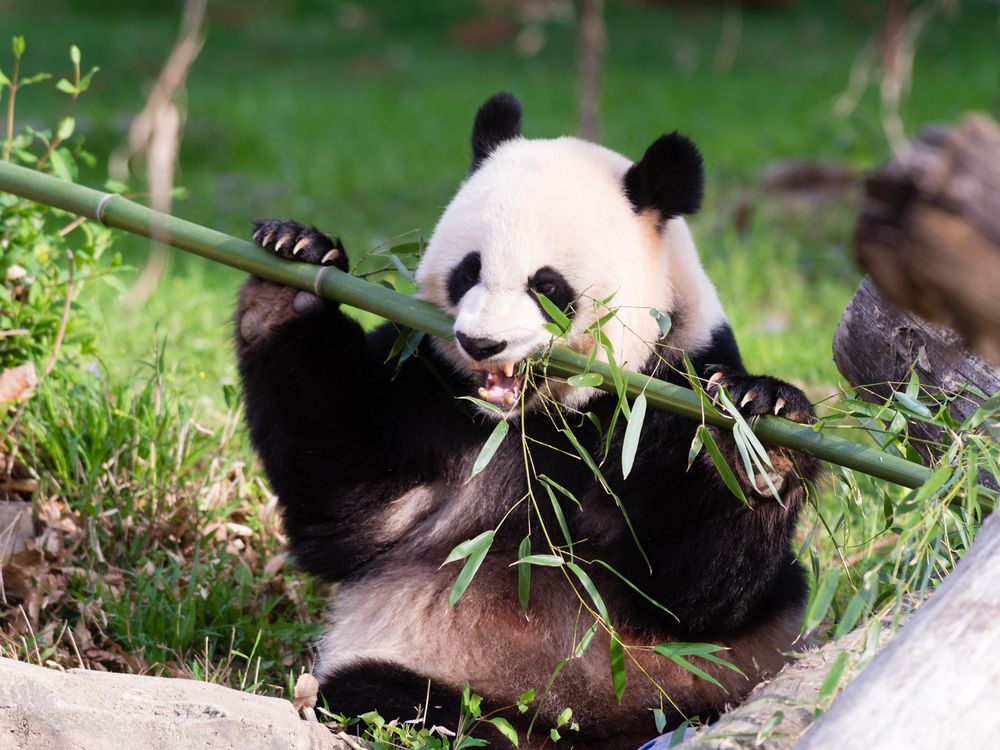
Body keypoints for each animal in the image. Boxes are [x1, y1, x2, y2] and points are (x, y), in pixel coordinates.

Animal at [234, 95, 820, 750]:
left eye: (547, 286)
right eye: (468, 270)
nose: (481, 342)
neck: (539, 417)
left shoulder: (671, 383)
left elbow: (691, 593)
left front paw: (758, 432)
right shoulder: (428, 387)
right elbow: (352, 506)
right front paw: (291, 269)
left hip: (717, 680)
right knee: (383, 694)